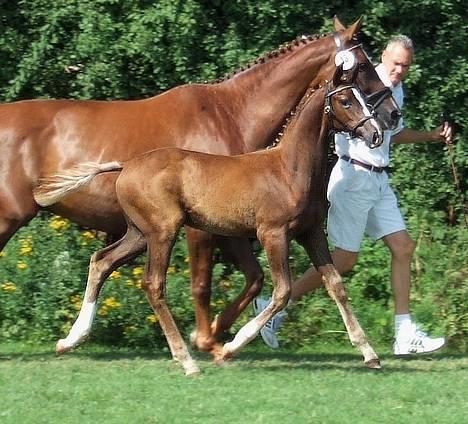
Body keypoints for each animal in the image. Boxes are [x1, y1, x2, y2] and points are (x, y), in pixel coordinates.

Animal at [33, 63, 384, 374]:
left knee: (101, 261)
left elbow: (335, 284)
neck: (289, 168)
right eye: (345, 100)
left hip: (138, 233)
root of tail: (127, 165)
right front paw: (229, 347)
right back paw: (187, 361)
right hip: (163, 231)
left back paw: (71, 340)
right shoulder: (273, 233)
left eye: (364, 97)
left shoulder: (311, 233)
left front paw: (370, 354)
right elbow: (282, 292)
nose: (376, 134)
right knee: (153, 284)